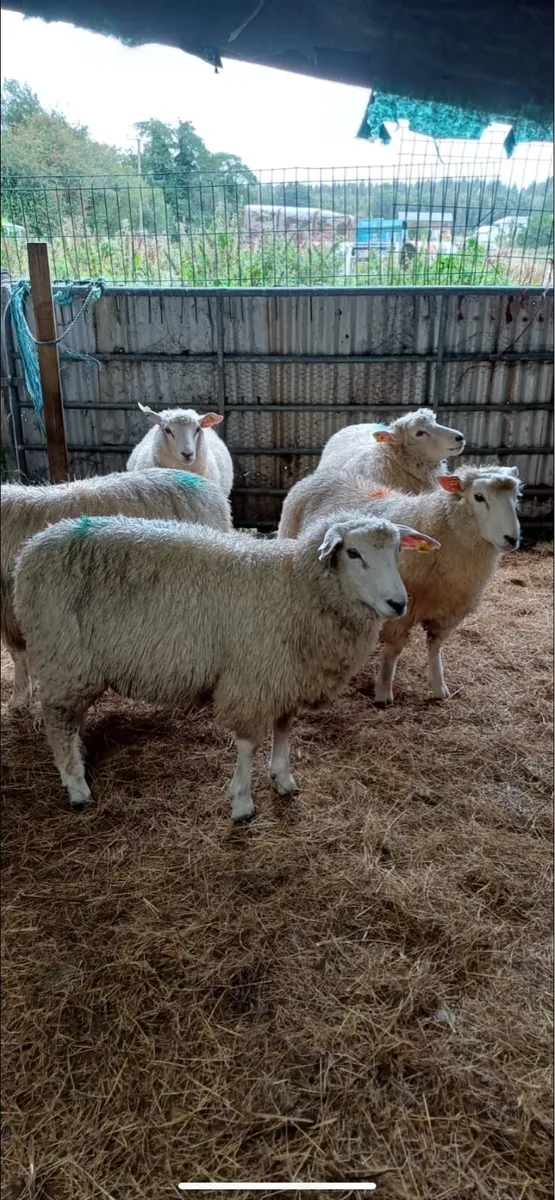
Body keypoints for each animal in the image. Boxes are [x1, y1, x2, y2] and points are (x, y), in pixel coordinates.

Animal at [13, 511, 440, 821]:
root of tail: (31, 550)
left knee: (69, 721)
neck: (294, 588)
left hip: (72, 666)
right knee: (58, 722)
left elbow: (284, 728)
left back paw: (78, 761)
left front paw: (283, 777)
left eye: (398, 550)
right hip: (64, 657)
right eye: (353, 553)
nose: (398, 604)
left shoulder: (285, 676)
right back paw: (76, 786)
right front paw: (242, 802)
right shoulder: (253, 678)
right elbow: (248, 744)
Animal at [279, 463, 521, 705]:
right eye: (479, 497)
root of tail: (318, 475)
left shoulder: (447, 612)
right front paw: (384, 692)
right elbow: (393, 651)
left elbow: (435, 647)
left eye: (516, 497)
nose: (512, 539)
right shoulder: (399, 610)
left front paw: (438, 686)